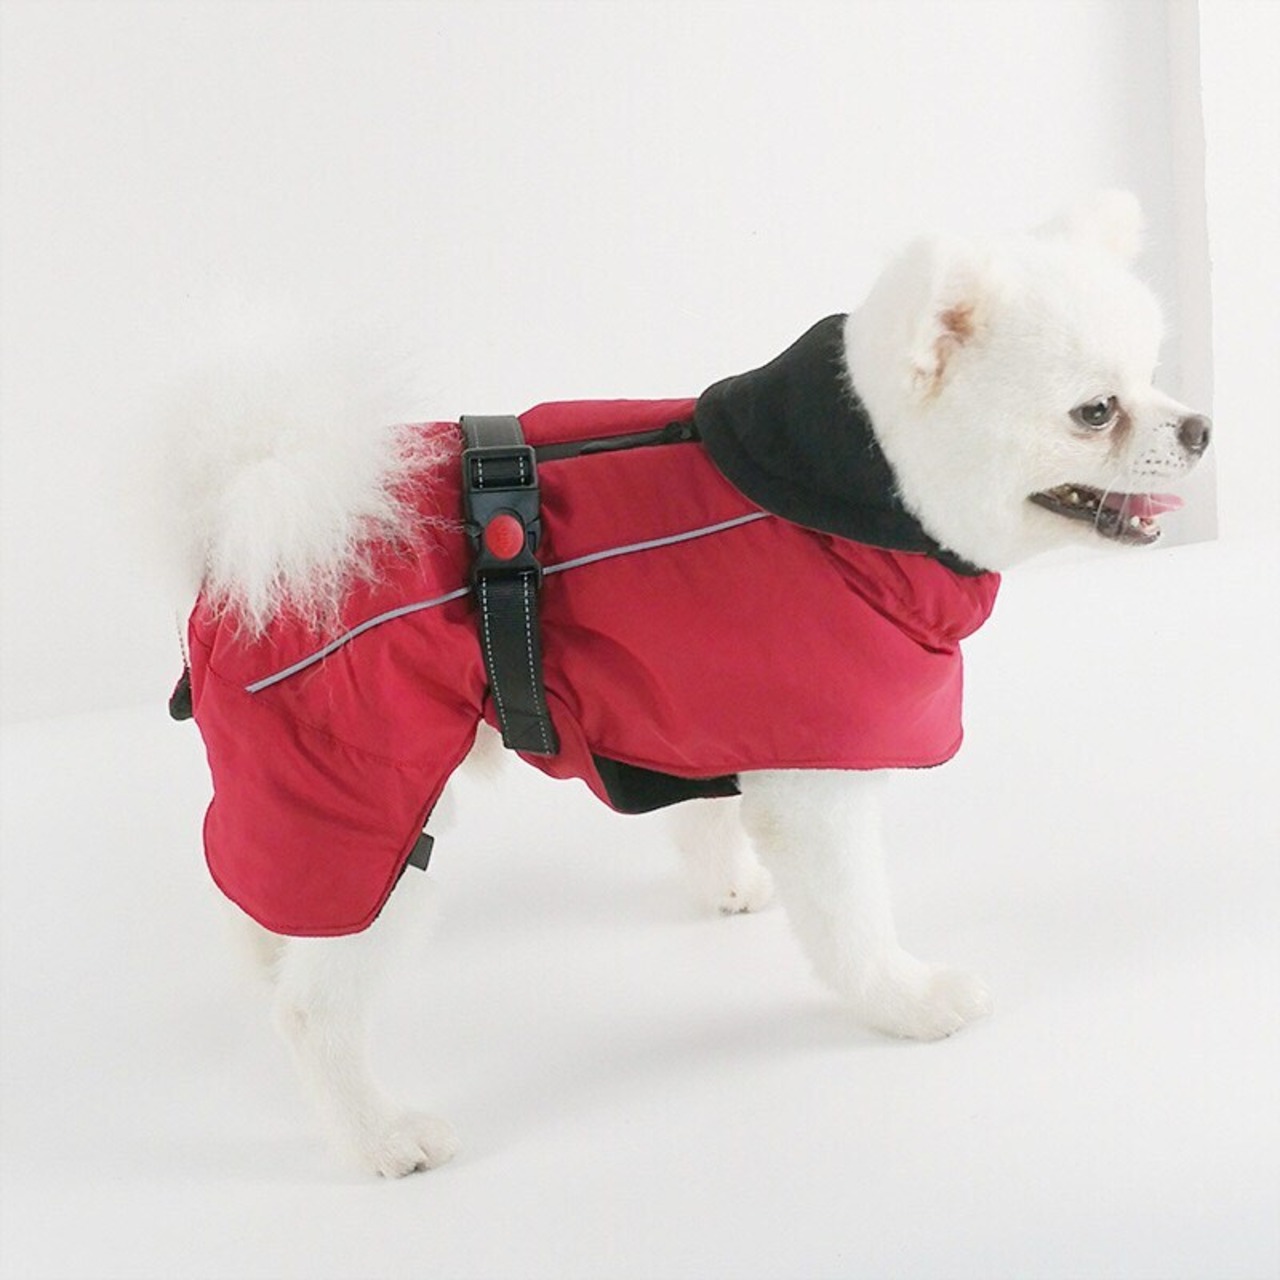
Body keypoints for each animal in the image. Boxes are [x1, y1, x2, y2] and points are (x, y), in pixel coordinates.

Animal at [170, 192, 1210, 1176]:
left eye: (1157, 373)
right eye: (1095, 411)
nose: (1201, 426)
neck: (867, 488)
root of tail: (250, 522)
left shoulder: (697, 710)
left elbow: (707, 815)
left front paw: (729, 884)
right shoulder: (818, 780)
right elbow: (851, 919)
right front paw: (904, 1000)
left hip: (295, 798)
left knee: (258, 902)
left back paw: (268, 962)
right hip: (369, 808)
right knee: (315, 1006)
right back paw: (378, 1134)